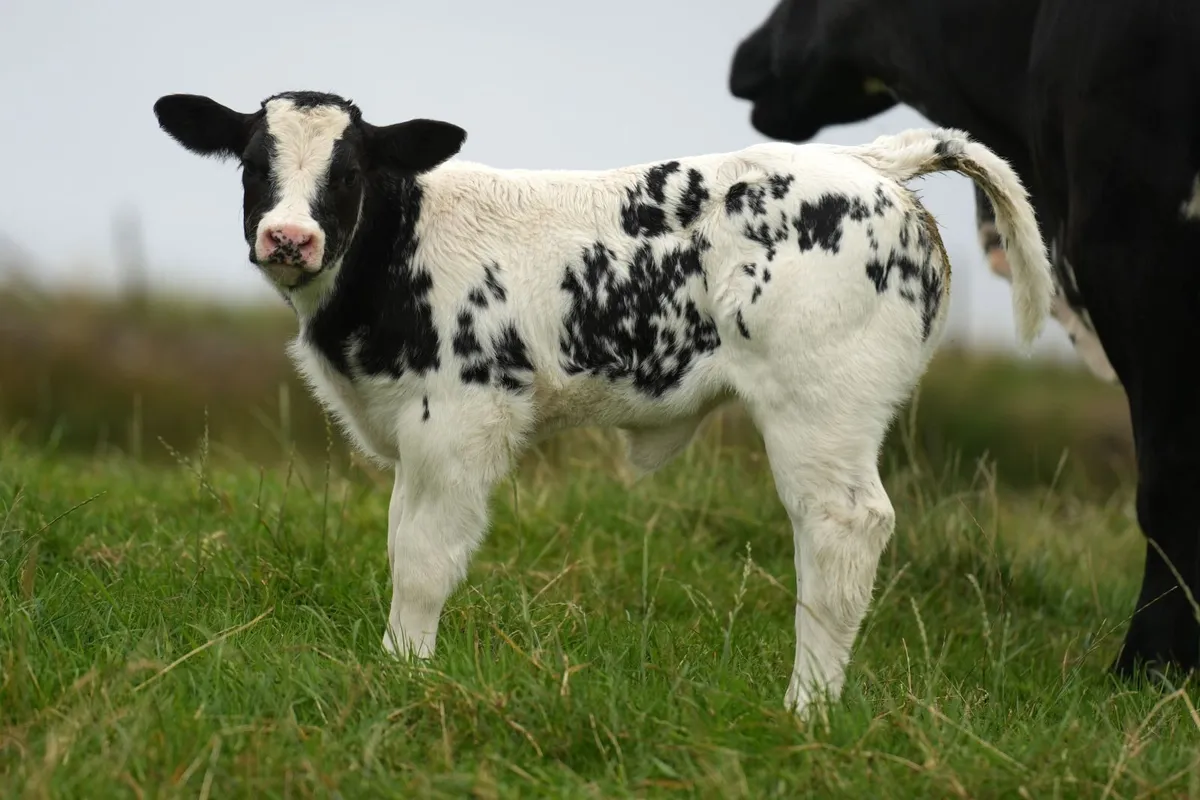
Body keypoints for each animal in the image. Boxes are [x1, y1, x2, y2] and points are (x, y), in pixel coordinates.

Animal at [151, 89, 1052, 716]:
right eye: (252, 165)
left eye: (348, 171)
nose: (288, 238)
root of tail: (872, 163)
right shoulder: (413, 431)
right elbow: (401, 544)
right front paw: (391, 666)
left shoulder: (465, 421)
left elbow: (424, 563)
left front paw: (405, 674)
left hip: (821, 407)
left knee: (841, 531)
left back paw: (806, 713)